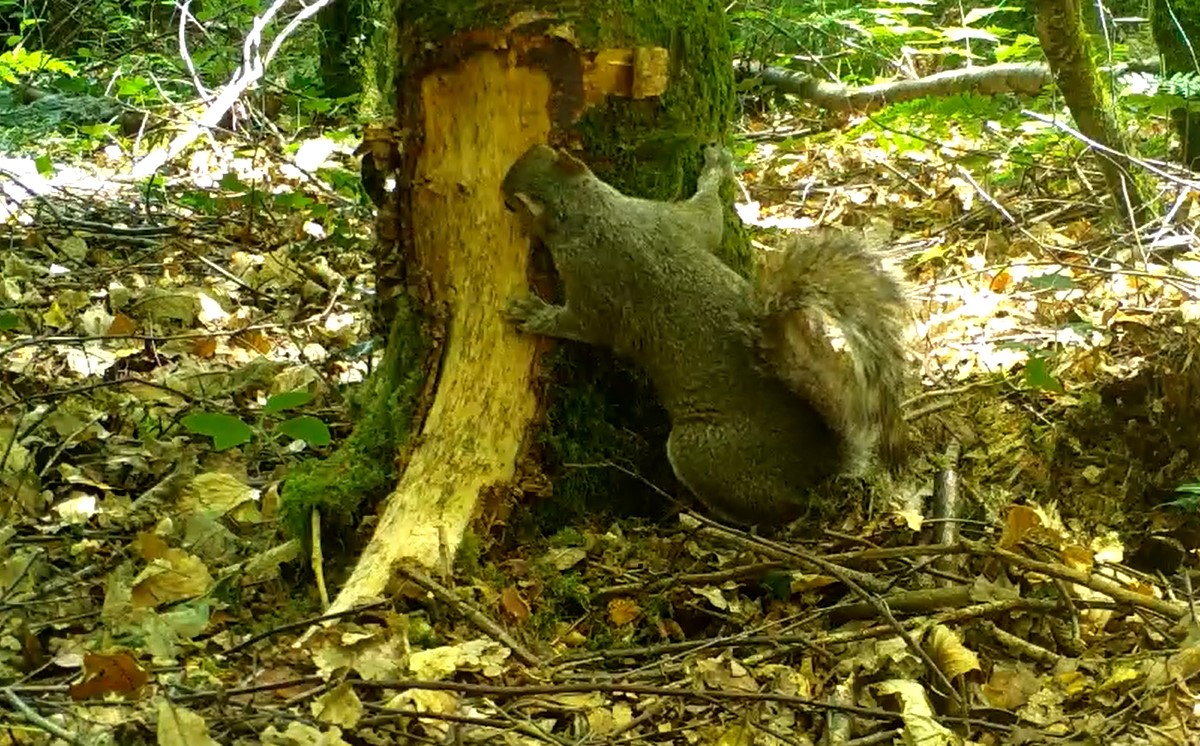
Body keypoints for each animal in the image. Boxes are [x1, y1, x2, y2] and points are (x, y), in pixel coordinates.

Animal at [501, 143, 909, 527]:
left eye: (511, 202)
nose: (502, 191)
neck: (593, 211)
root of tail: (819, 462)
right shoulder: (667, 218)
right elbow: (708, 217)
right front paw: (715, 169)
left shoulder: (594, 280)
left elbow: (585, 325)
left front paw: (535, 315)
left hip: (704, 454)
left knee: (784, 507)